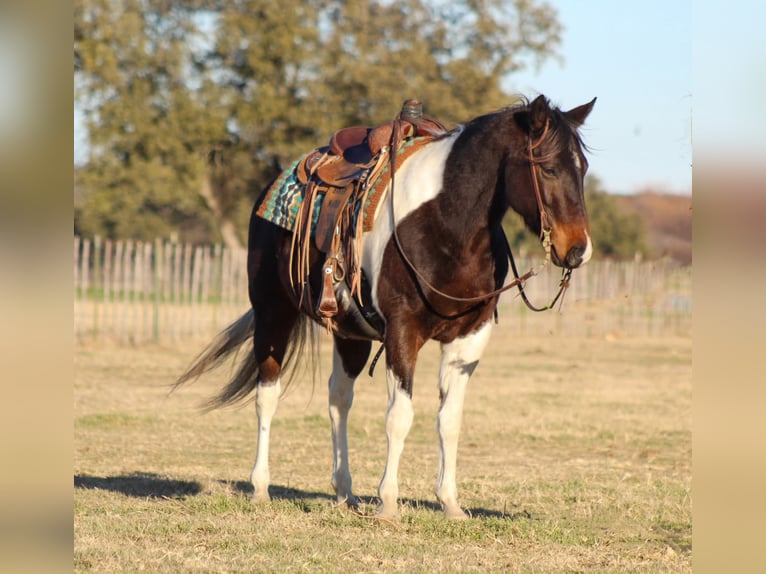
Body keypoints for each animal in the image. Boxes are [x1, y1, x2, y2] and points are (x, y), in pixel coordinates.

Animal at [178, 95, 600, 520]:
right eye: (548, 168)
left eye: (582, 169)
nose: (578, 251)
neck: (448, 225)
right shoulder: (402, 331)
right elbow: (399, 417)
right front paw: (389, 502)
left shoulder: (469, 336)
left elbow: (449, 420)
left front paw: (450, 503)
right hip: (272, 311)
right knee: (267, 395)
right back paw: (261, 487)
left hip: (349, 333)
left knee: (338, 400)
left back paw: (344, 491)